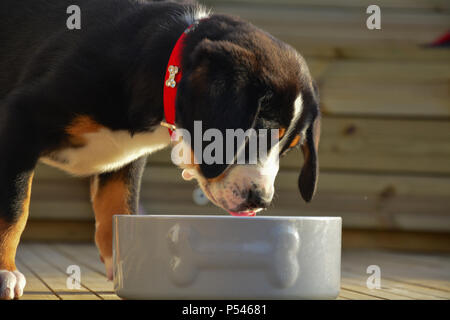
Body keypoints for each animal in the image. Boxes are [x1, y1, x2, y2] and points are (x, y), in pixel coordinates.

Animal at [1, 0, 322, 300]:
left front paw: (124, 265)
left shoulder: (123, 159)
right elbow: (14, 210)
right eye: (252, 135)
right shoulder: (20, 118)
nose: (261, 199)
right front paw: (5, 272)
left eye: (287, 149)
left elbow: (118, 209)